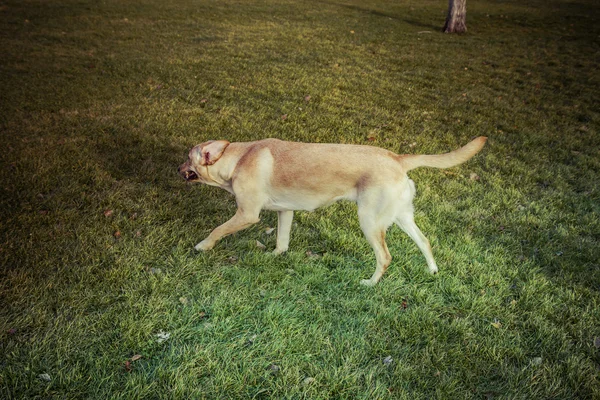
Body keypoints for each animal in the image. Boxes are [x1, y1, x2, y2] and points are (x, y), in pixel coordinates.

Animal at [176, 137, 486, 284]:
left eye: (187, 158)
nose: (176, 168)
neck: (239, 159)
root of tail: (397, 158)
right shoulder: (285, 212)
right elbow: (282, 240)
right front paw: (275, 256)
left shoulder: (247, 214)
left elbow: (217, 229)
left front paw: (202, 246)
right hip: (402, 217)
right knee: (425, 241)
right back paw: (432, 270)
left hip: (369, 221)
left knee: (385, 257)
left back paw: (370, 283)